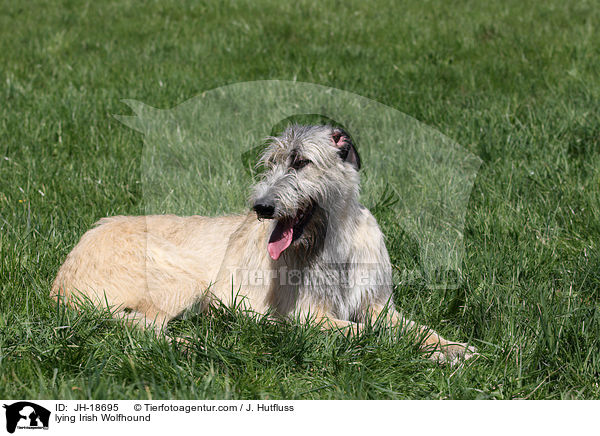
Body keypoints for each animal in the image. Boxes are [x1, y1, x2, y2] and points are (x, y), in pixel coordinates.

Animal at [50, 124, 474, 362]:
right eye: (270, 164)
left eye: (301, 162)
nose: (261, 207)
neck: (332, 240)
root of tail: (60, 281)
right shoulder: (308, 312)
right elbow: (360, 331)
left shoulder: (377, 304)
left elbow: (414, 328)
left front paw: (452, 347)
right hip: (182, 279)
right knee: (142, 326)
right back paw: (191, 343)